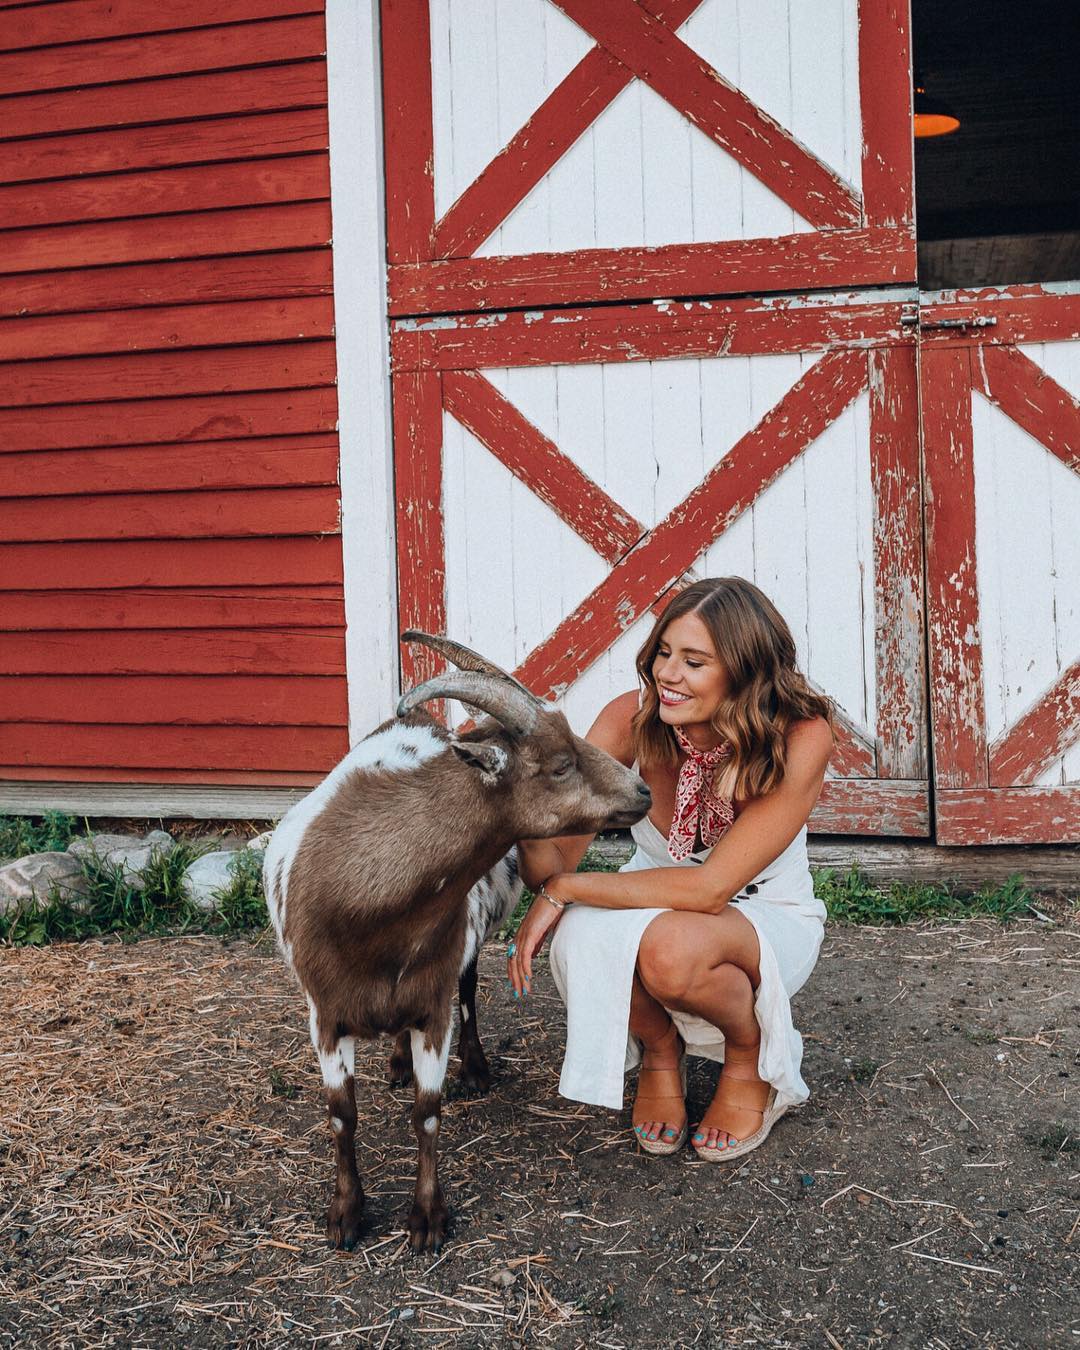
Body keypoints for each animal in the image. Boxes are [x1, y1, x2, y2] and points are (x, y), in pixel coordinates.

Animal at [263, 632, 652, 1252]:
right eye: (561, 764)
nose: (642, 791)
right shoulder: (325, 1015)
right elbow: (342, 1116)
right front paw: (345, 1216)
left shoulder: (433, 1002)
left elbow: (427, 1111)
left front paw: (427, 1219)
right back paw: (397, 1063)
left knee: (469, 992)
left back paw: (475, 1069)